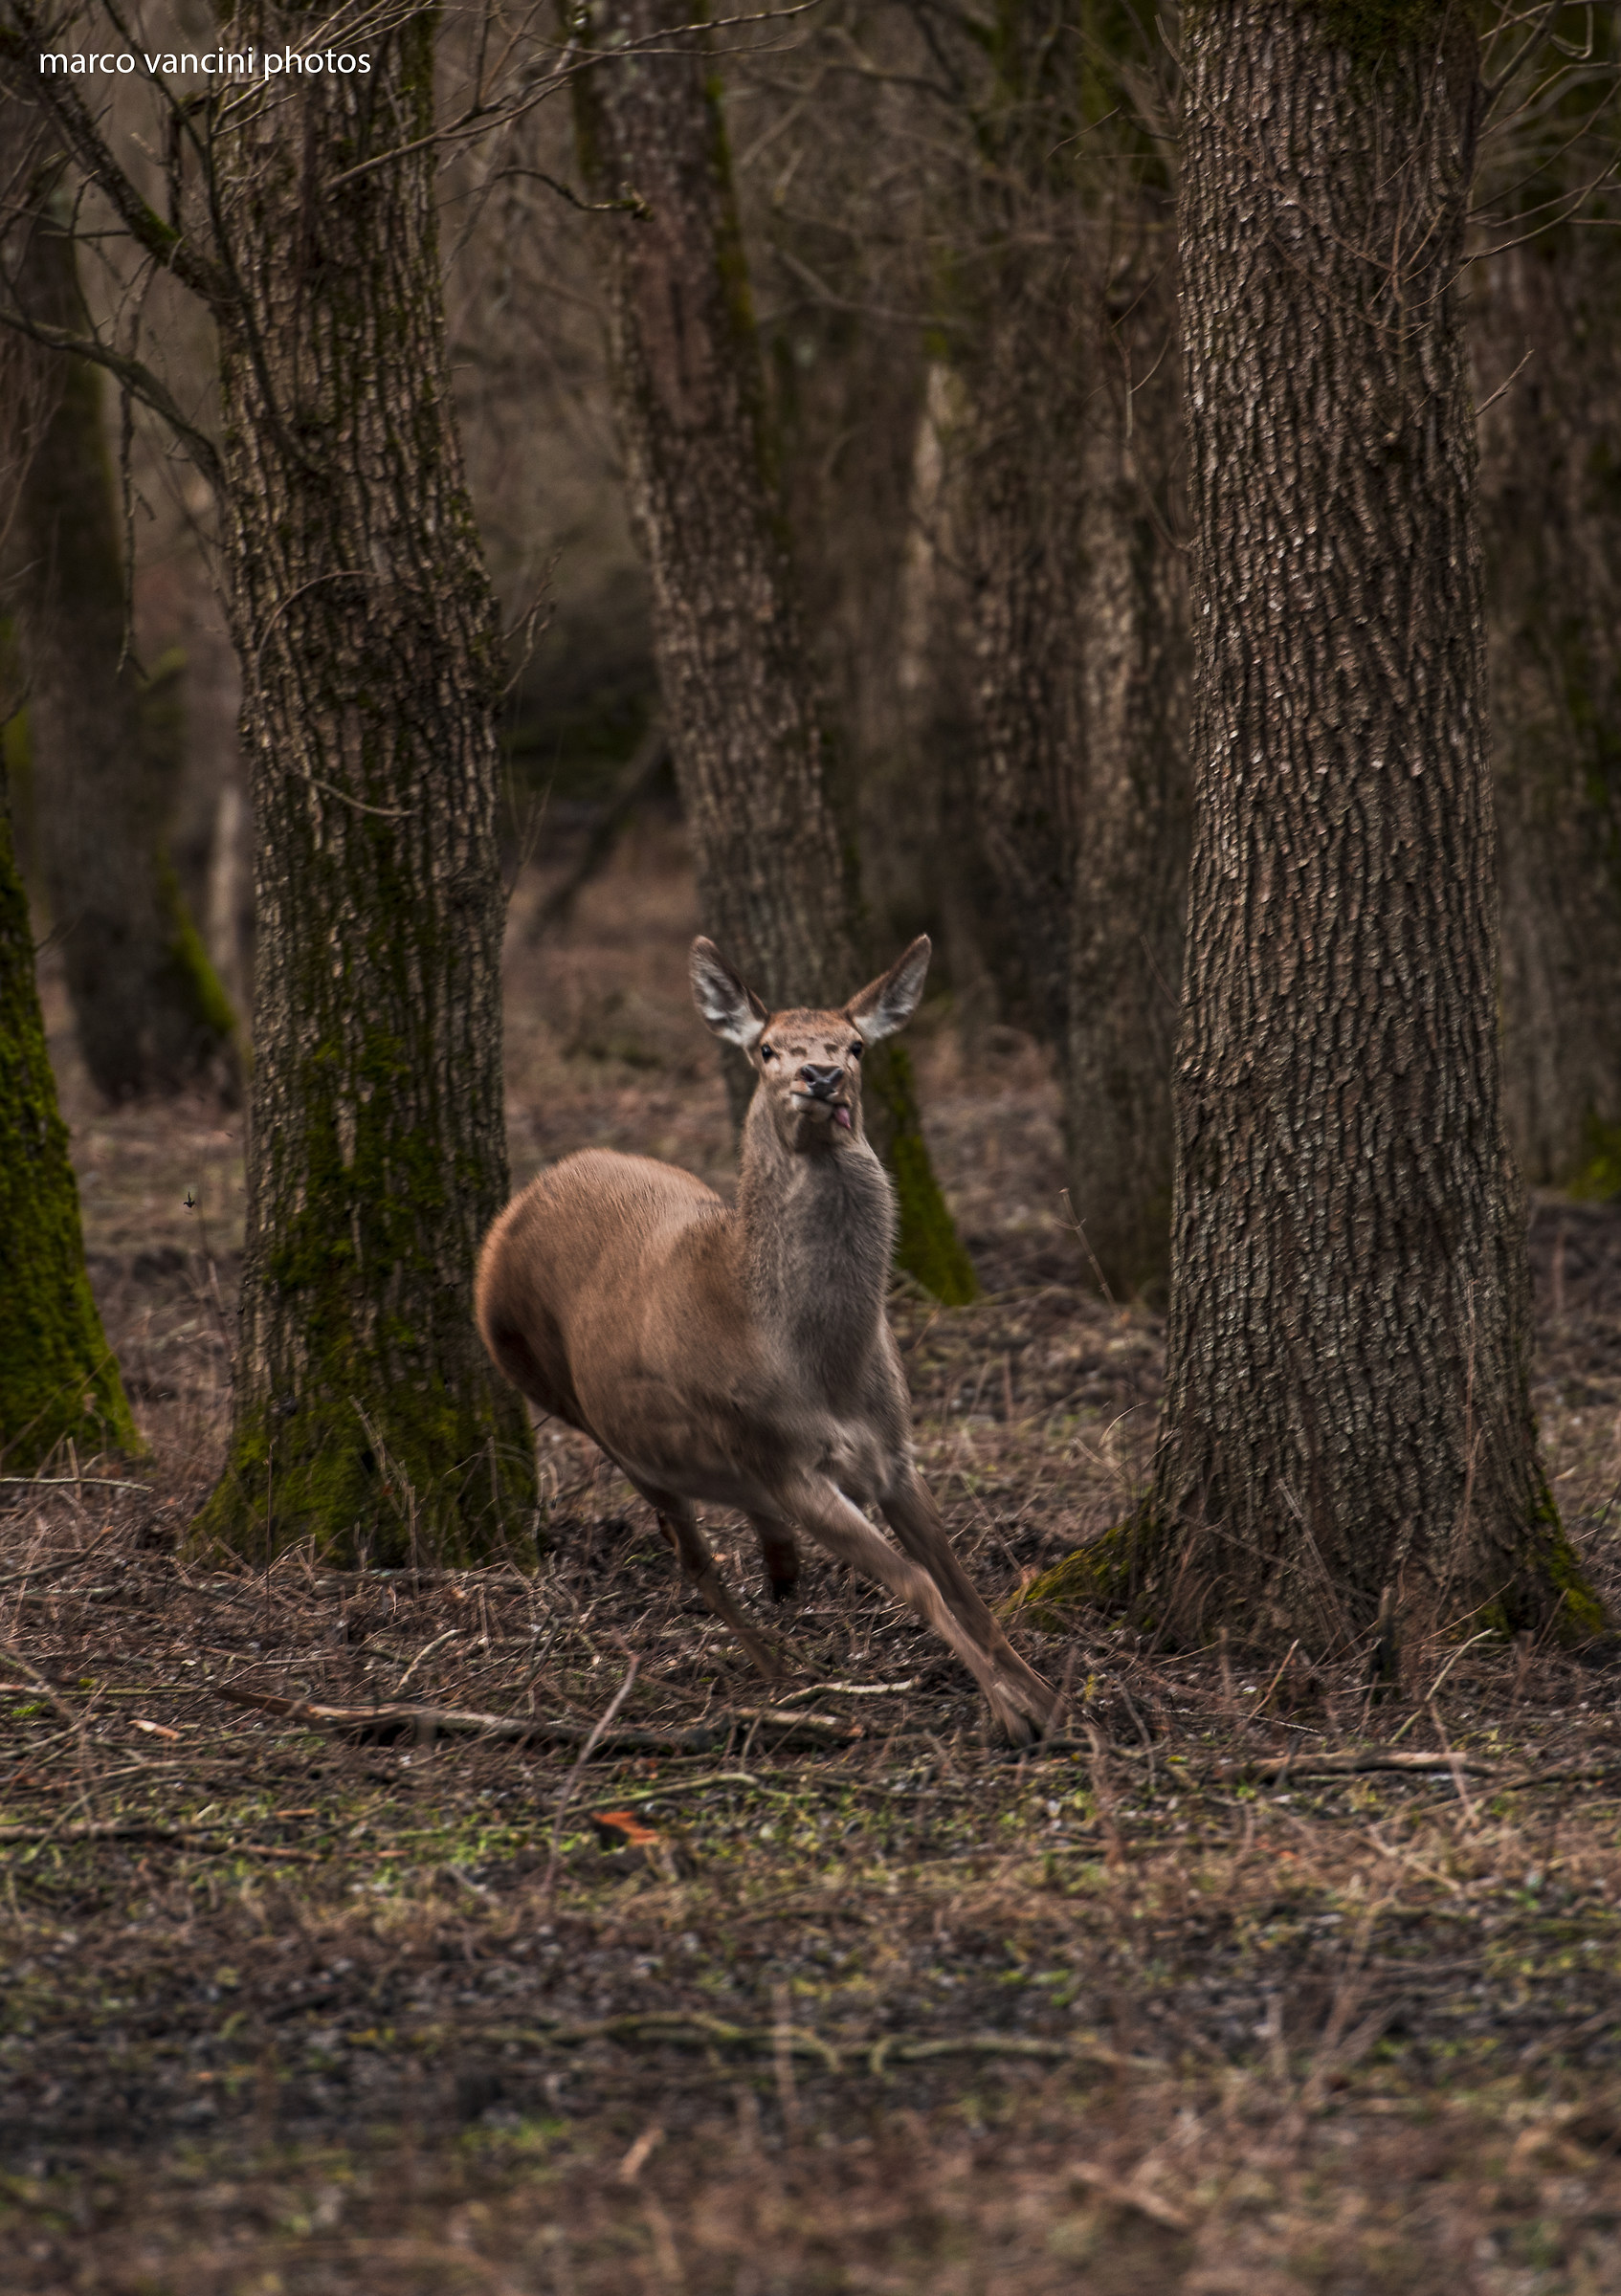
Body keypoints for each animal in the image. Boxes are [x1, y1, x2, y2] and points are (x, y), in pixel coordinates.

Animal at [475, 935, 1057, 1744]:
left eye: (855, 1044)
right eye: (767, 1049)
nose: (822, 1077)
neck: (818, 1366)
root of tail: (511, 1214)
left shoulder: (895, 1451)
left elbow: (962, 1583)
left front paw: (1048, 1696)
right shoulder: (778, 1456)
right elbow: (916, 1583)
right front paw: (1010, 1714)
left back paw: (782, 1572)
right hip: (593, 1419)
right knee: (692, 1558)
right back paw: (779, 1673)